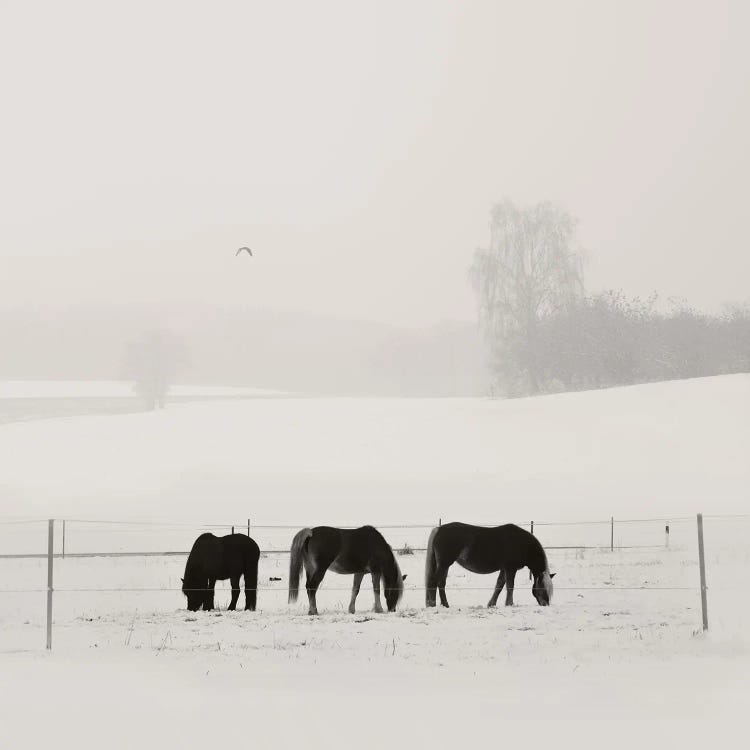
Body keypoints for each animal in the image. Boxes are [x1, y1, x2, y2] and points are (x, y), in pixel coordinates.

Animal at [426, 524, 556, 612]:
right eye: (543, 587)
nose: (546, 604)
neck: (522, 544)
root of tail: (439, 529)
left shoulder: (504, 569)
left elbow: (499, 585)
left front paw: (491, 604)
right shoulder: (510, 569)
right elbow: (510, 586)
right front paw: (509, 604)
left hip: (445, 565)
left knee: (441, 583)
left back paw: (443, 605)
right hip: (444, 564)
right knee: (434, 581)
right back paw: (434, 604)